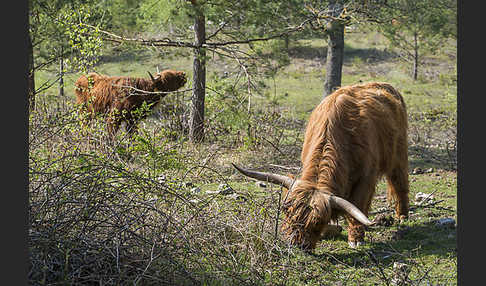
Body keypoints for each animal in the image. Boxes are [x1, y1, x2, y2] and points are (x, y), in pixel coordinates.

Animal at [234, 81, 408, 249]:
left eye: (317, 223)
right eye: (287, 212)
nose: (297, 246)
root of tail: (383, 85)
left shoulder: (366, 177)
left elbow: (358, 205)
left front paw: (356, 238)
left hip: (399, 154)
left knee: (400, 183)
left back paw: (403, 216)